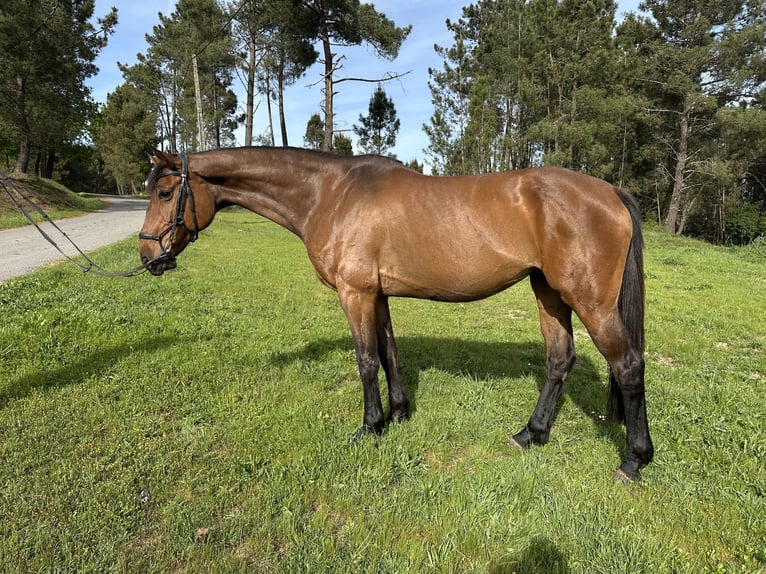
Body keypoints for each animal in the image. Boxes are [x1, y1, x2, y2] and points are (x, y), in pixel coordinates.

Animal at [138, 147, 654, 481]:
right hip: (549, 293)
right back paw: (531, 434)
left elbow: (366, 361)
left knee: (627, 365)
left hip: (589, 301)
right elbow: (389, 353)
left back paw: (633, 461)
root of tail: (611, 191)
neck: (332, 192)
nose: (148, 258)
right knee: (559, 360)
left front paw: (370, 427)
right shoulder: (378, 295)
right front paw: (400, 414)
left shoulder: (355, 293)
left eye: (164, 193)